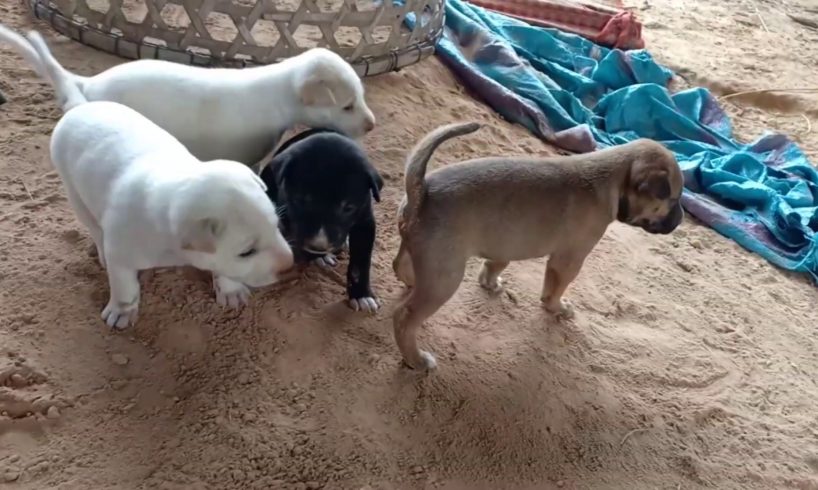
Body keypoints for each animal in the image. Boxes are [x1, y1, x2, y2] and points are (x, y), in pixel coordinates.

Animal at [26, 30, 294, 330]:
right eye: (246, 252)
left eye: (276, 226)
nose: (290, 267)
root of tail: (82, 106)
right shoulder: (122, 255)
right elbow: (124, 286)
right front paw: (121, 311)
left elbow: (223, 269)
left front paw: (230, 288)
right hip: (75, 194)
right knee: (94, 228)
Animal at [260, 128, 384, 312]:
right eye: (301, 200)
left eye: (348, 207)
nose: (319, 246)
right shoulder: (287, 213)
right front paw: (318, 256)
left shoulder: (365, 222)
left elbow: (360, 263)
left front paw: (362, 295)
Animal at [388, 121, 684, 368]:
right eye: (673, 199)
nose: (680, 219)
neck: (611, 180)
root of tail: (422, 191)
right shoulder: (568, 261)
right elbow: (553, 290)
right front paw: (557, 308)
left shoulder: (505, 242)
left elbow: (494, 264)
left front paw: (490, 283)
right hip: (445, 279)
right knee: (404, 318)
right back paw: (415, 359)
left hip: (421, 255)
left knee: (400, 266)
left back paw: (411, 283)